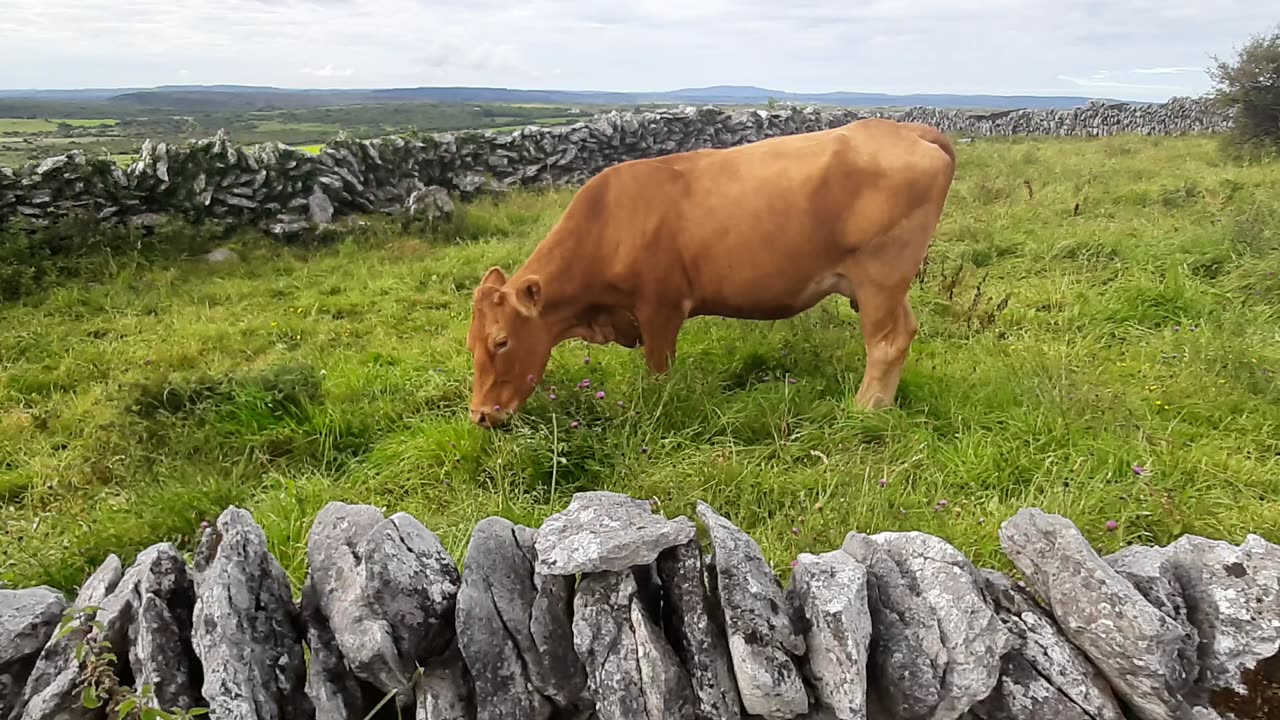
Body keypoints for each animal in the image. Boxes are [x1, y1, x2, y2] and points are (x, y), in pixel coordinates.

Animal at [466, 116, 957, 428]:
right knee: (905, 332)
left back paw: (866, 409)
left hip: (880, 276)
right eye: (472, 343)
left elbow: (659, 372)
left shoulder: (660, 307)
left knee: (886, 342)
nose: (481, 416)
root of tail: (907, 129)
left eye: (502, 341)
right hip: (887, 284)